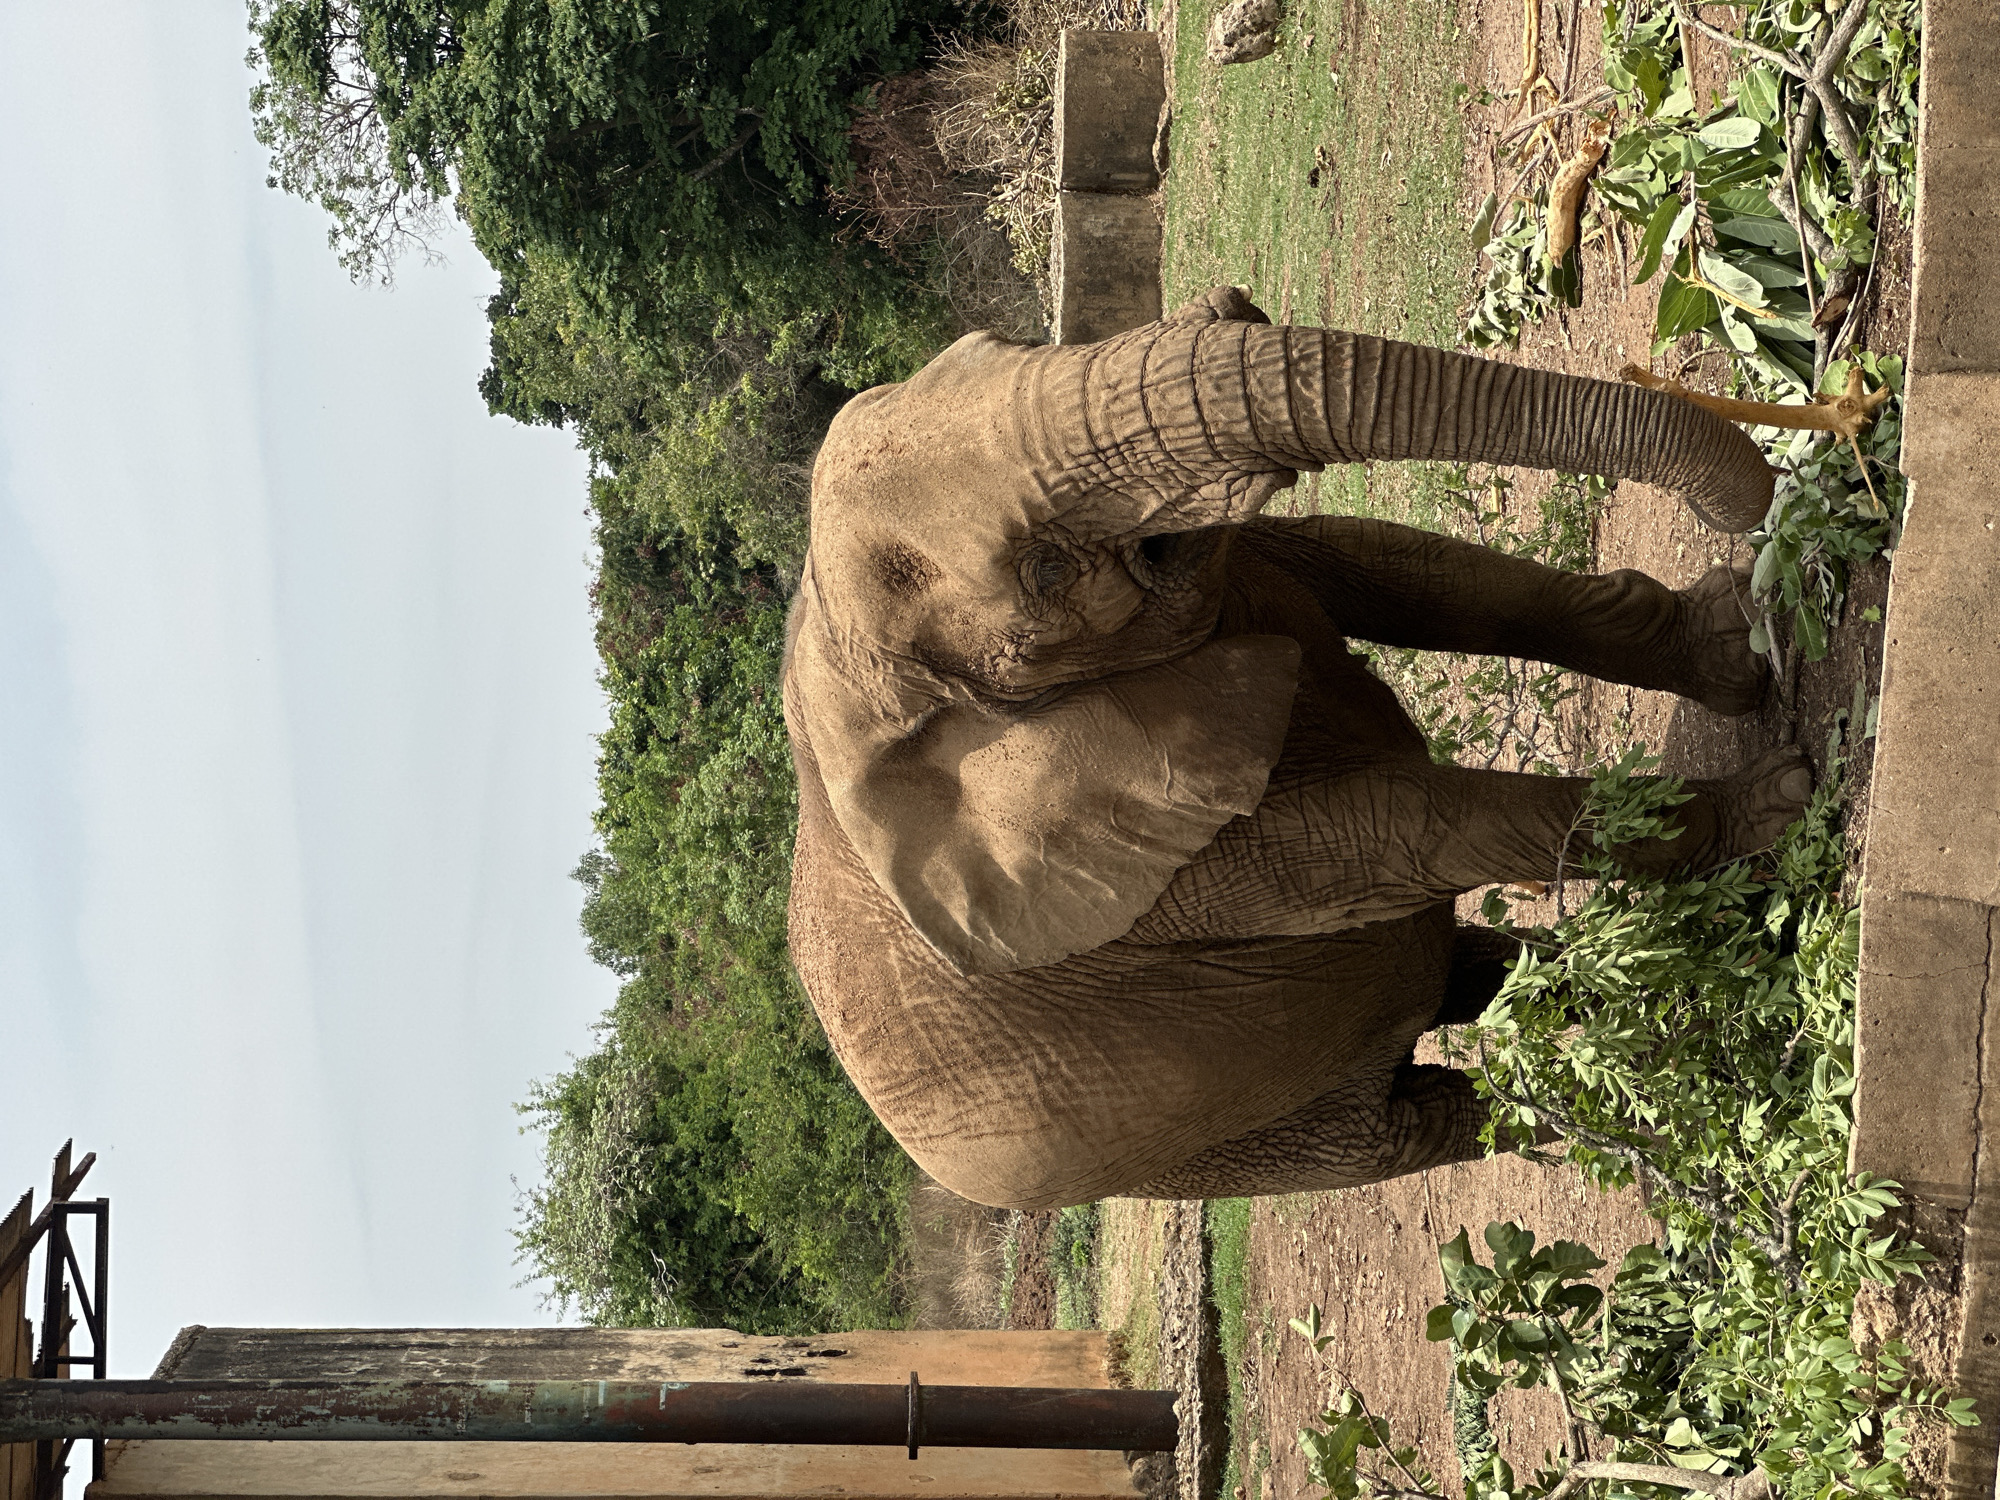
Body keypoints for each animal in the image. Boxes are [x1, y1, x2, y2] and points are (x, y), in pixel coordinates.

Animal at [782, 288, 1810, 1210]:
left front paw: (1736, 648)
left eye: (1020, 346)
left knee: (1464, 974)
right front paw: (1776, 803)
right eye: (1042, 573)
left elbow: (1402, 571)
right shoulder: (1138, 876)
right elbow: (1392, 827)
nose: (1758, 498)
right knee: (1431, 1118)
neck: (835, 662)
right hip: (1215, 1152)